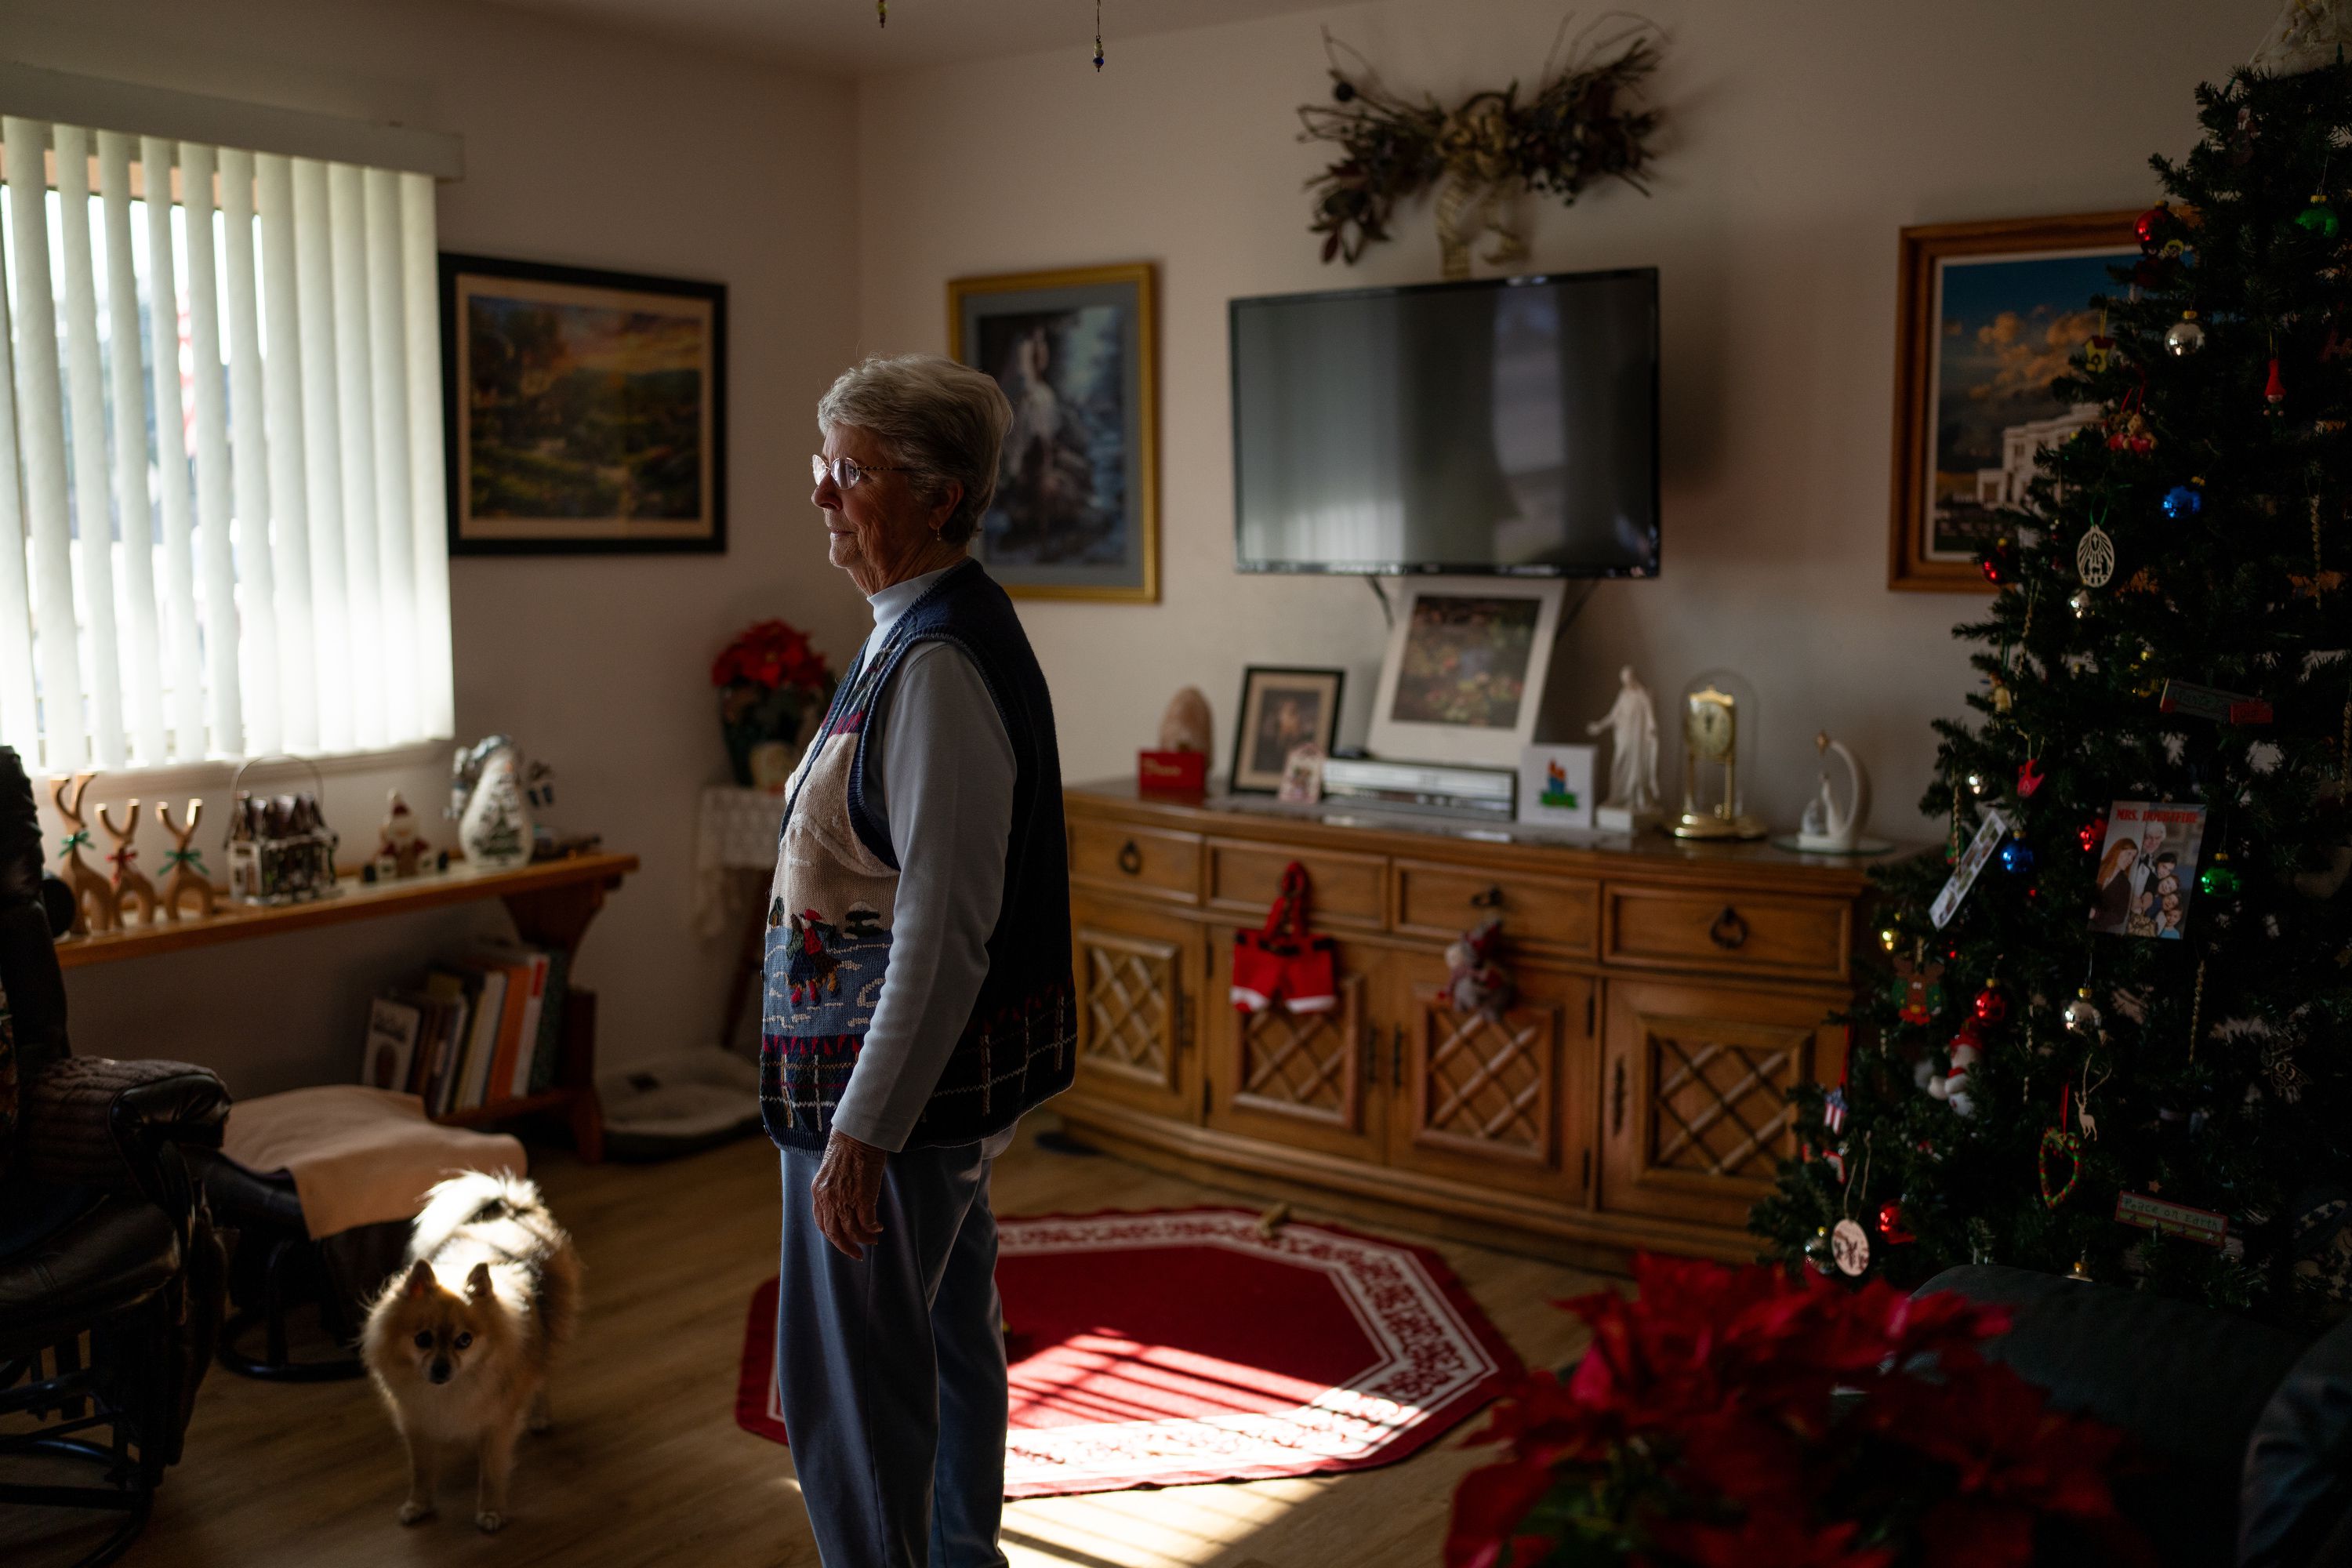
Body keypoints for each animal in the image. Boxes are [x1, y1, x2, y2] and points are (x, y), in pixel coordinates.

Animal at [367, 1175, 588, 1533]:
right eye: (423, 1339)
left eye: (464, 1340)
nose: (441, 1369)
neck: (449, 1391)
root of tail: (513, 1212)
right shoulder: (417, 1423)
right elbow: (421, 1472)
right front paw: (418, 1505)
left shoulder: (497, 1424)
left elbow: (491, 1472)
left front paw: (491, 1511)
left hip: (549, 1334)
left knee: (541, 1376)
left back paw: (541, 1417)